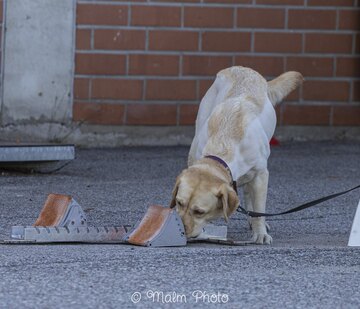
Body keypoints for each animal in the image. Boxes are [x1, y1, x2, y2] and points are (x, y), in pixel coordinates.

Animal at [170, 66, 302, 244]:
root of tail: (243, 68)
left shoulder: (261, 175)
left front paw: (260, 233)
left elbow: (259, 209)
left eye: (199, 212)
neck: (225, 143)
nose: (180, 233)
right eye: (179, 203)